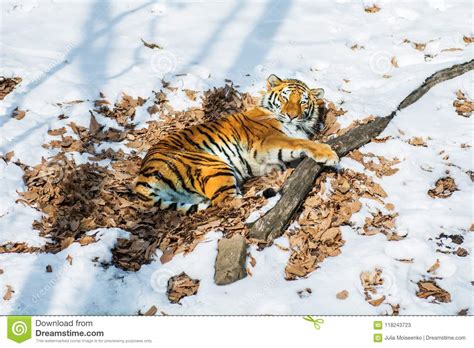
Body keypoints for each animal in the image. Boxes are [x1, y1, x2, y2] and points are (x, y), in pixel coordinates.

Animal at [135, 74, 338, 212]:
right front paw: (328, 153)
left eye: (302, 102)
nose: (292, 115)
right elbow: (297, 142)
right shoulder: (269, 140)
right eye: (285, 98)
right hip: (213, 165)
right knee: (227, 202)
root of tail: (142, 175)